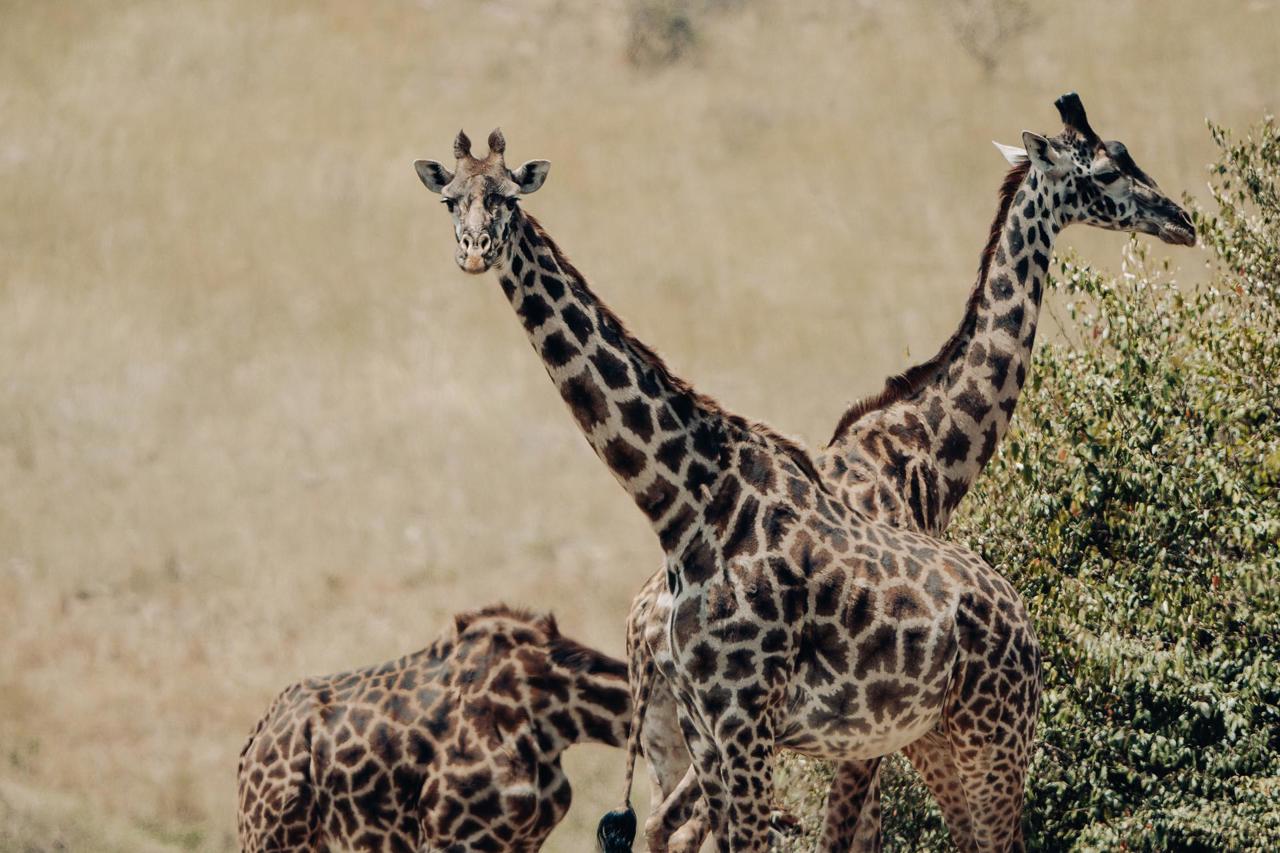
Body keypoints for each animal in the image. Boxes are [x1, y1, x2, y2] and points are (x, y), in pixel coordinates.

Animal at [623, 92, 1197, 851]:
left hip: (678, 731)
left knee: (662, 823)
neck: (924, 452)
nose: (1181, 221)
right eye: (1104, 171)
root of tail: (642, 624)